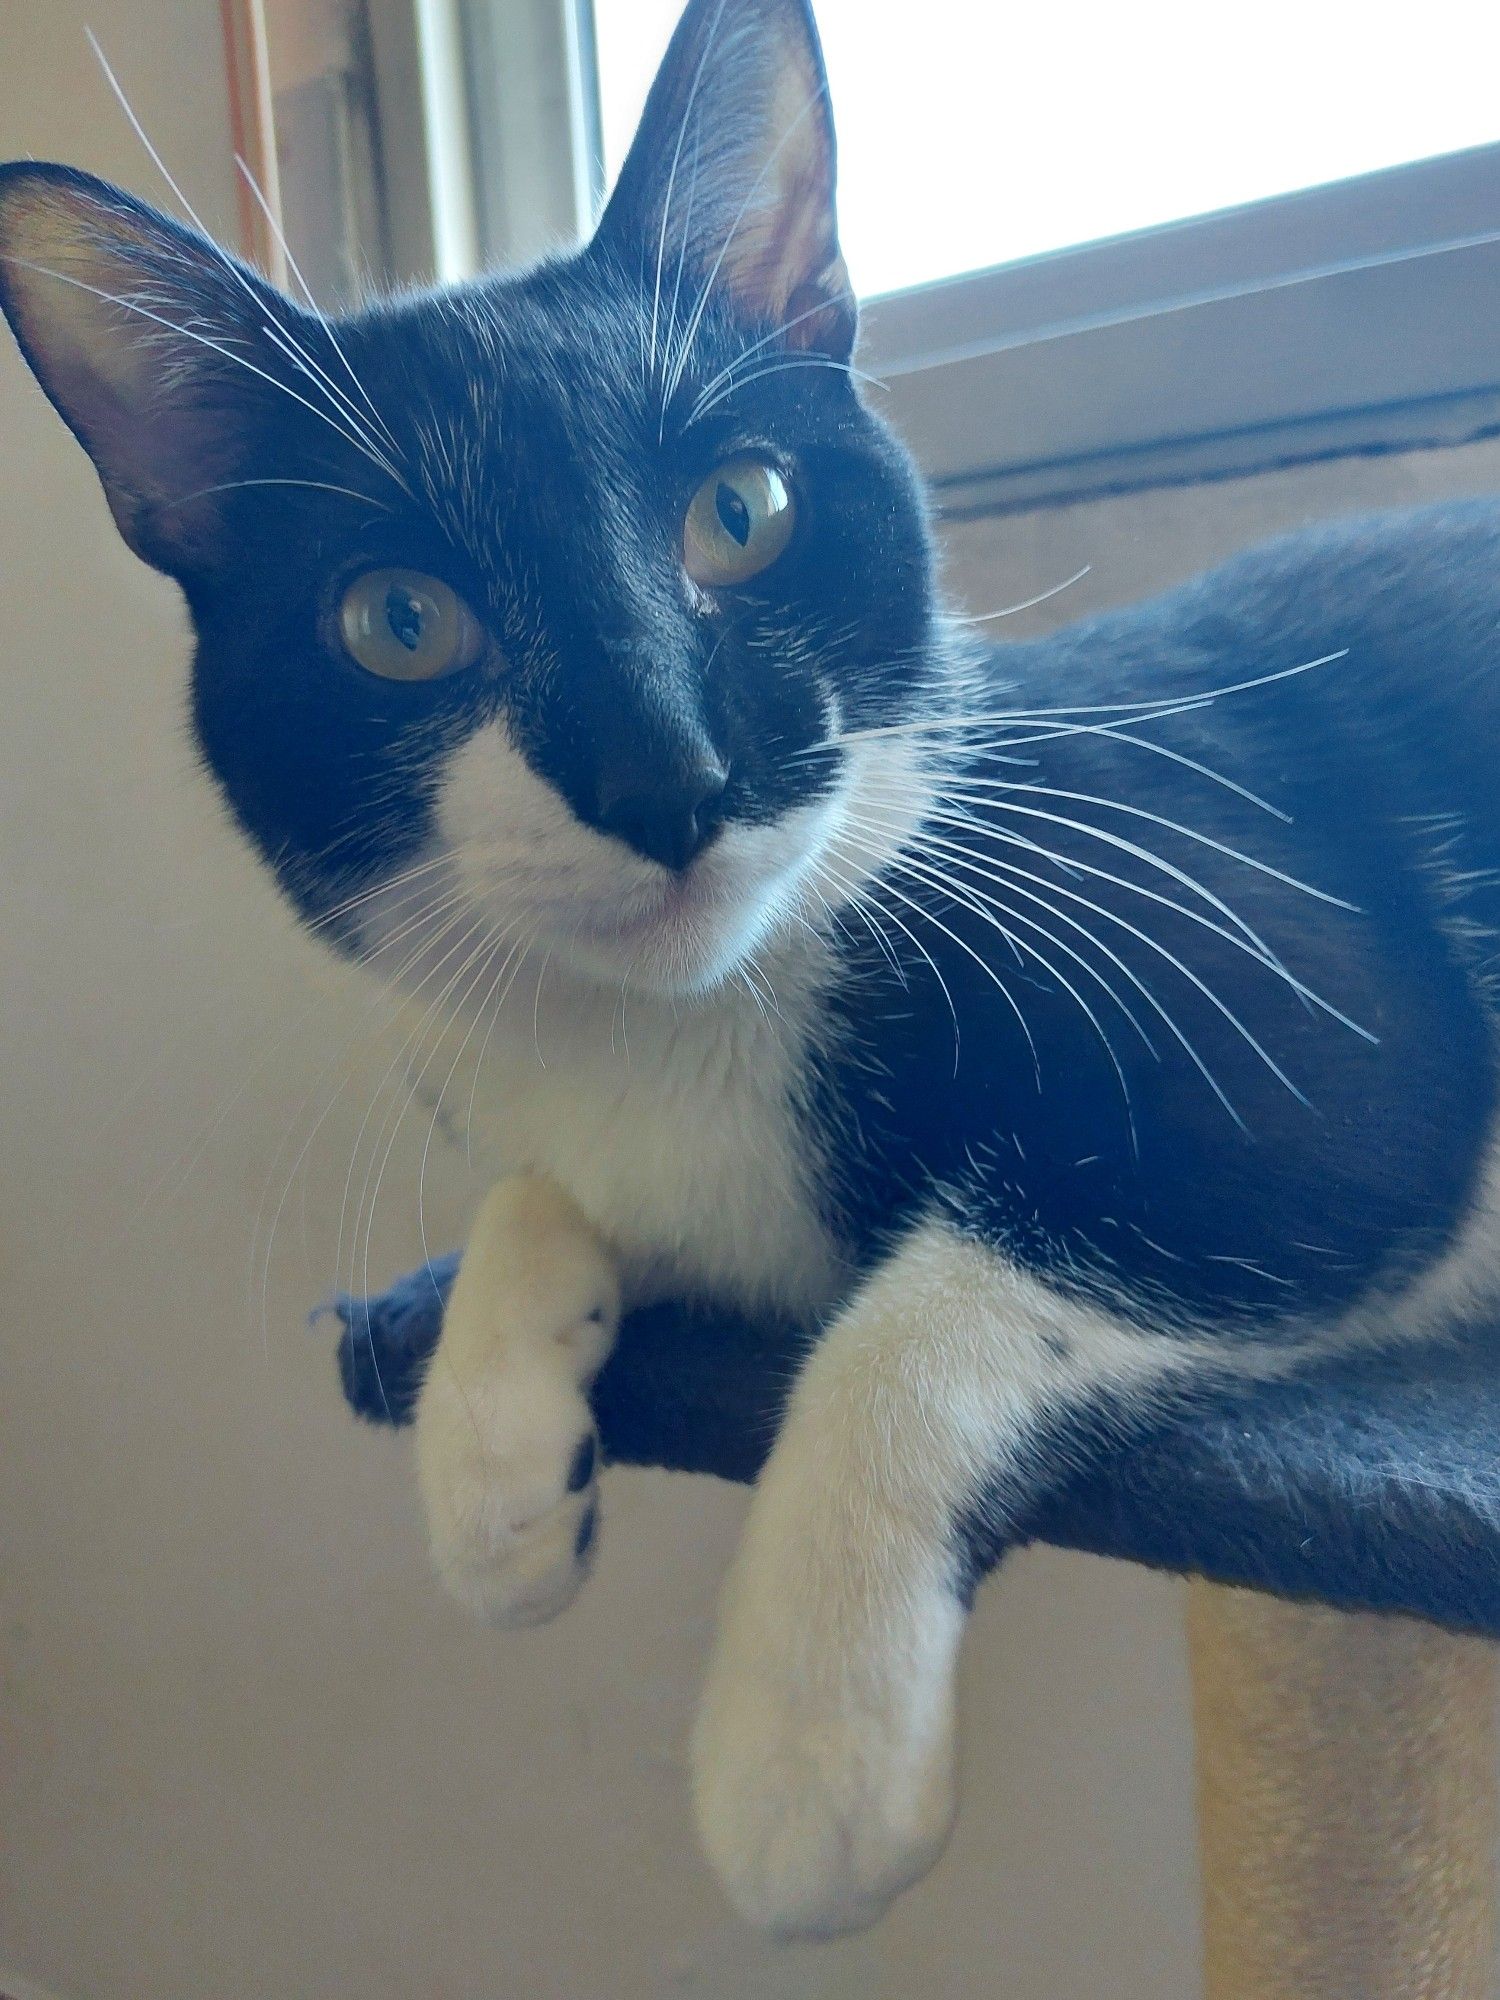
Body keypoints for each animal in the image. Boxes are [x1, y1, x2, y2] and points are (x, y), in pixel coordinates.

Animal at [2, 0, 1500, 1936]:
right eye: (397, 621)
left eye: (746, 512)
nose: (665, 775)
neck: (706, 1017)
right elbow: (545, 1186)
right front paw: (492, 1466)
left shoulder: (1305, 1014)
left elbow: (922, 1314)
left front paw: (807, 1751)